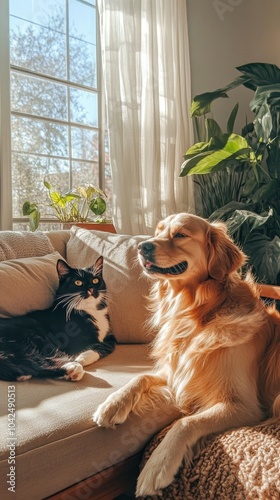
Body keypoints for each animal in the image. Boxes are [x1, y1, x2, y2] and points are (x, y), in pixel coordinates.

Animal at [94, 212, 280, 496]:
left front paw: (157, 465)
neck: (195, 313)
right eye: (158, 232)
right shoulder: (179, 369)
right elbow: (140, 377)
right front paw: (112, 404)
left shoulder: (245, 406)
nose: (142, 246)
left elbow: (186, 422)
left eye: (180, 234)